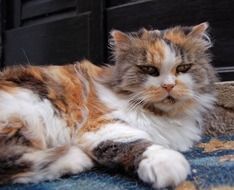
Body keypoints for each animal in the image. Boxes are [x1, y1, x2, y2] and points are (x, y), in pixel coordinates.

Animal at [0, 22, 218, 189]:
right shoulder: (103, 126)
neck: (163, 116)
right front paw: (167, 163)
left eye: (183, 68)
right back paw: (77, 159)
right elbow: (138, 143)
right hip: (31, 112)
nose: (169, 85)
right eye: (149, 70)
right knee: (12, 163)